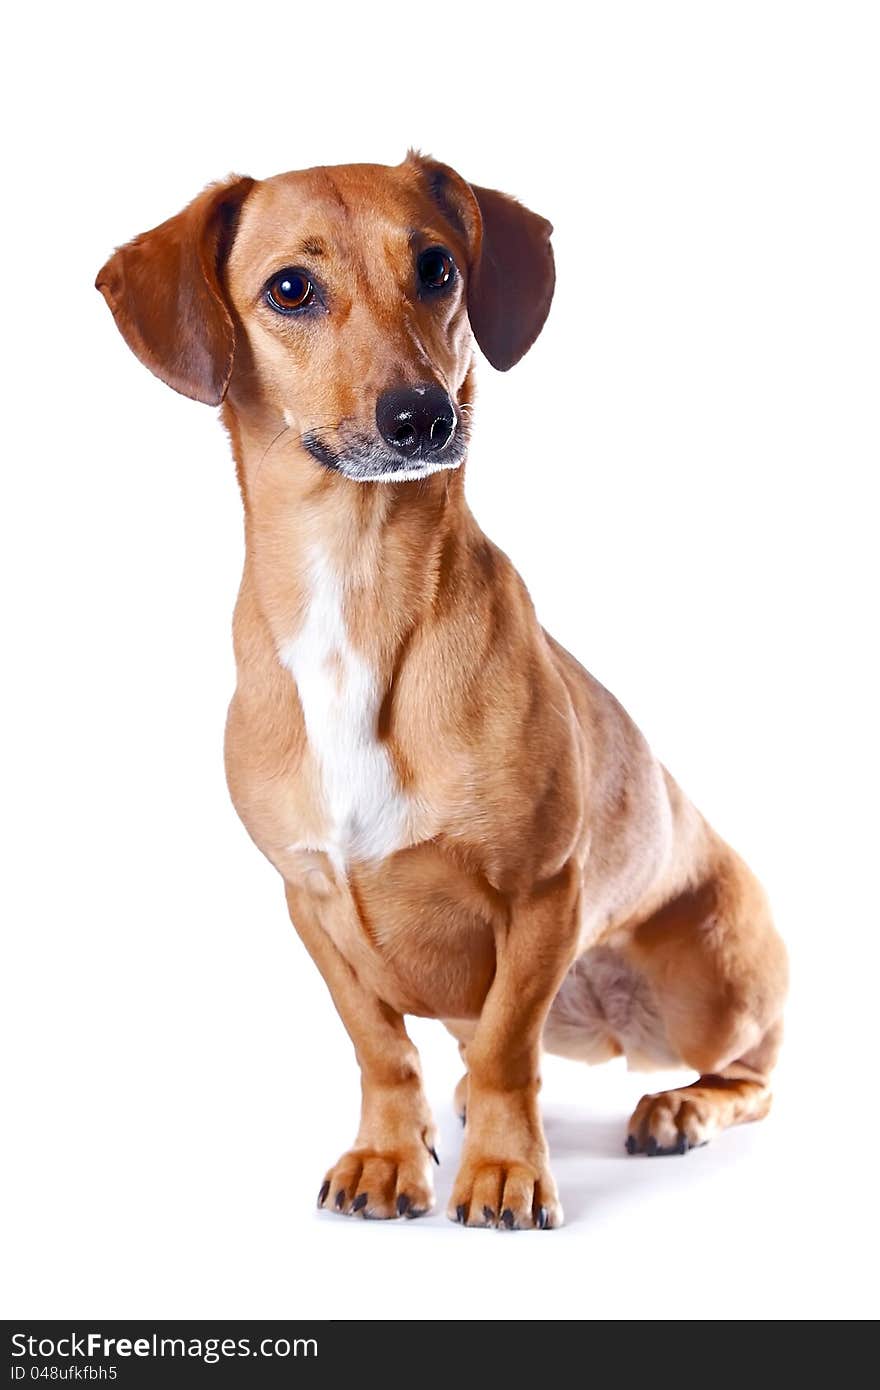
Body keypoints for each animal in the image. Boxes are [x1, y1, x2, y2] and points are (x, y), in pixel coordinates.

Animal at [98, 157, 789, 1234]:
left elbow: (509, 1049)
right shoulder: (310, 901)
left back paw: (679, 1105)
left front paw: (504, 1170)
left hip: (706, 990)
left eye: (437, 268)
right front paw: (390, 1151)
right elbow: (381, 1046)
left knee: (752, 1070)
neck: (357, 586)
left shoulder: (542, 892)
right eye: (290, 288)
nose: (423, 415)